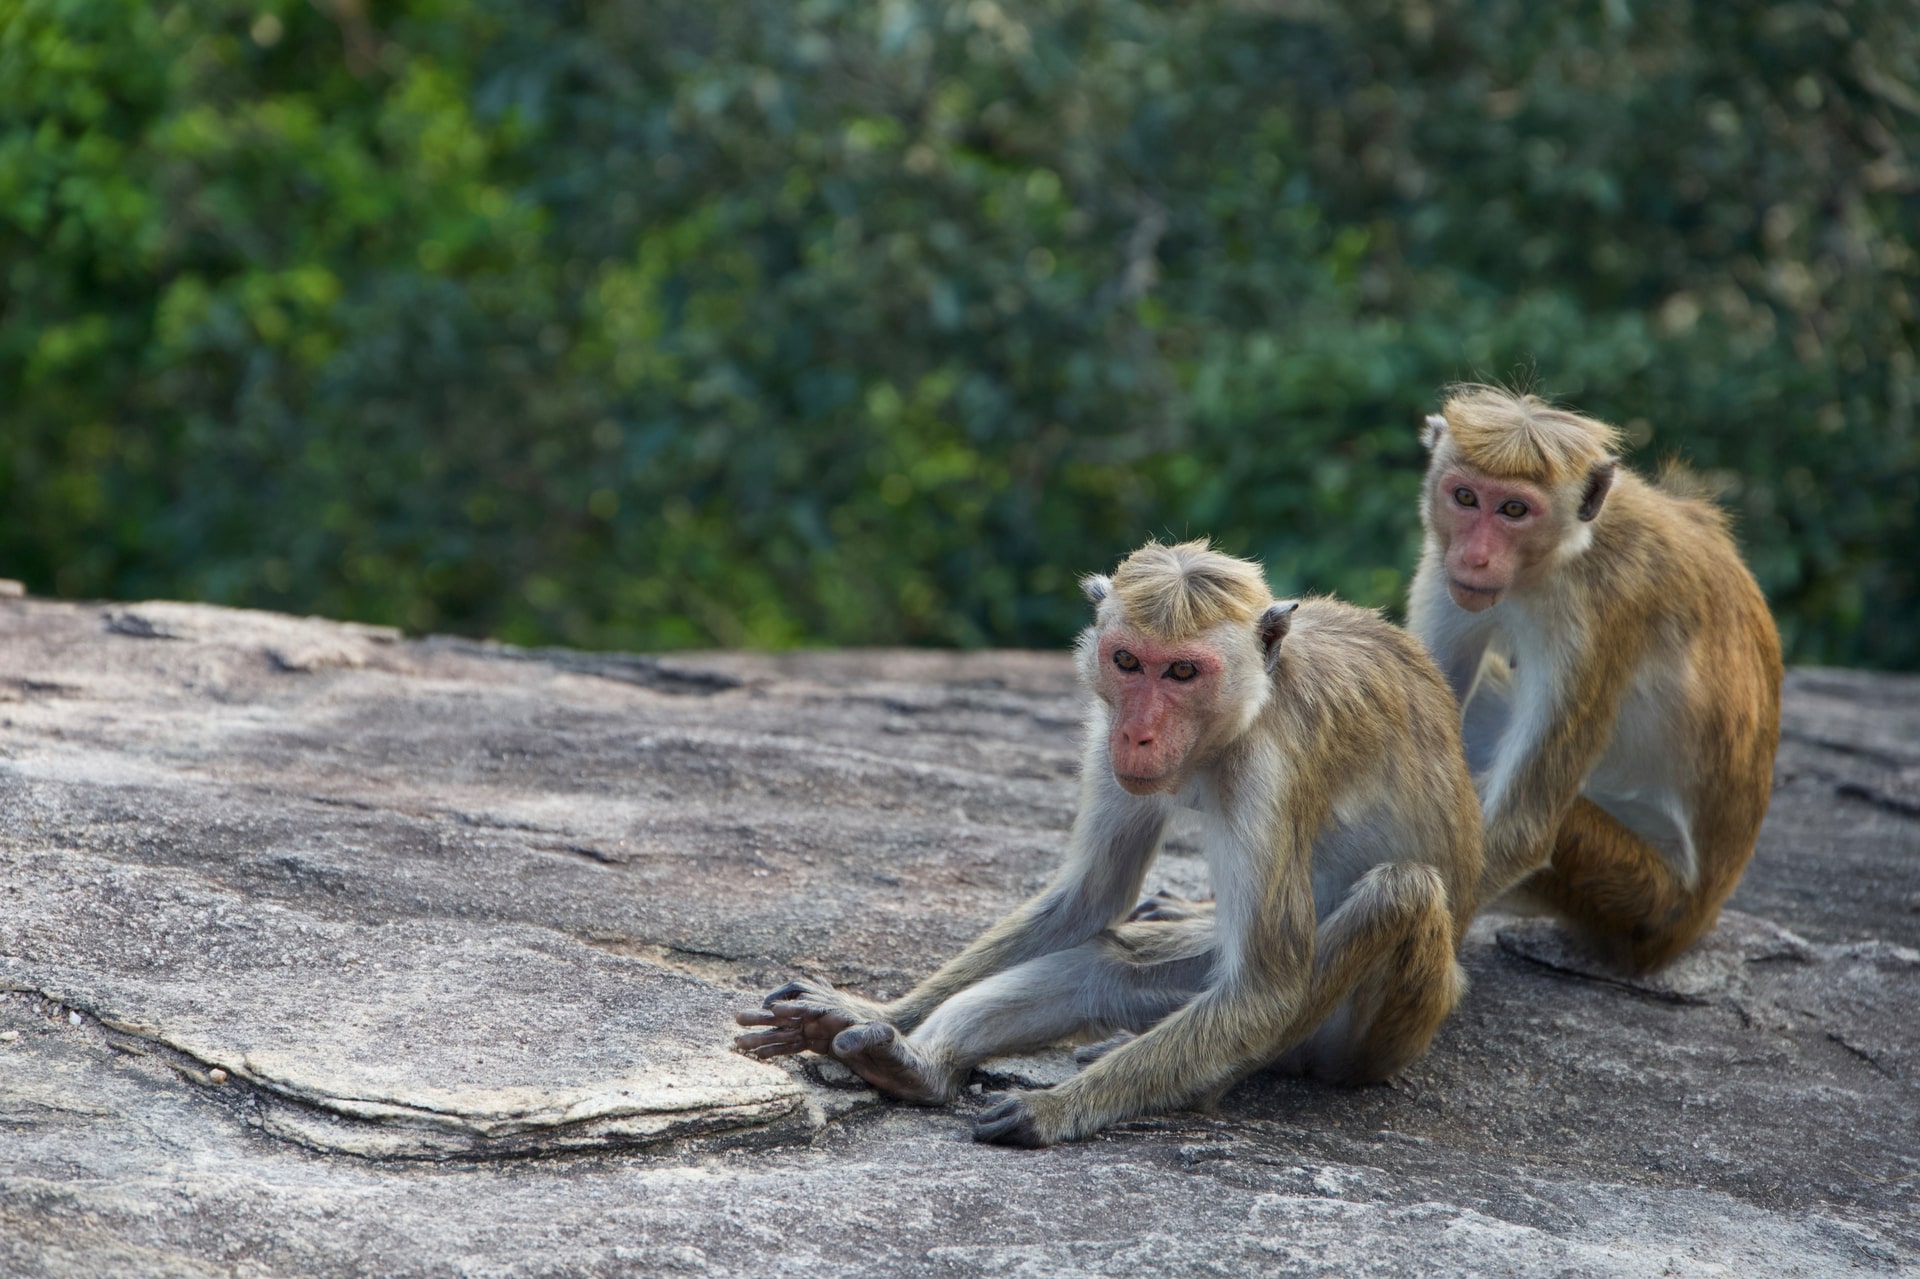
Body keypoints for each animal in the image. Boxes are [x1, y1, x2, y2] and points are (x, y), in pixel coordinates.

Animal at [735, 540, 1484, 1146]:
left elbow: (1267, 987)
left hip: (1367, 1038)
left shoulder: (1272, 768)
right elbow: (1092, 896)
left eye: (1182, 672)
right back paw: (913, 1066)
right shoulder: (1104, 732)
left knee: (1397, 891)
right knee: (1103, 966)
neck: (1242, 718)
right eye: (1127, 661)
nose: (1138, 734)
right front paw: (874, 1009)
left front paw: (1058, 1110)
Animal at [1407, 385, 1783, 973]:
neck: (1559, 559)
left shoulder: (1601, 614)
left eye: (1514, 509)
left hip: (1643, 897)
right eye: (1465, 497)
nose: (1474, 556)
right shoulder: (1444, 571)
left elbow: (1524, 826)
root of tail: (1699, 919)